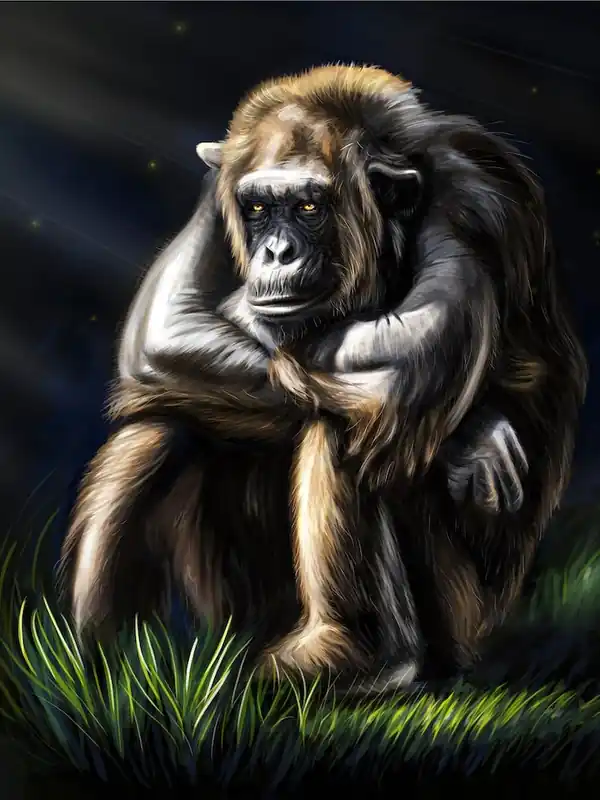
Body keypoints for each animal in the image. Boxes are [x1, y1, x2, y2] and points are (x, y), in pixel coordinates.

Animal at [59, 65, 587, 689]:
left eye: (310, 207)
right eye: (258, 209)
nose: (276, 252)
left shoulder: (473, 207)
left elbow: (404, 357)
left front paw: (472, 433)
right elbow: (165, 328)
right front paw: (475, 436)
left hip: (462, 619)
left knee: (349, 418)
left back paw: (355, 652)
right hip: (233, 607)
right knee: (163, 422)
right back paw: (104, 658)